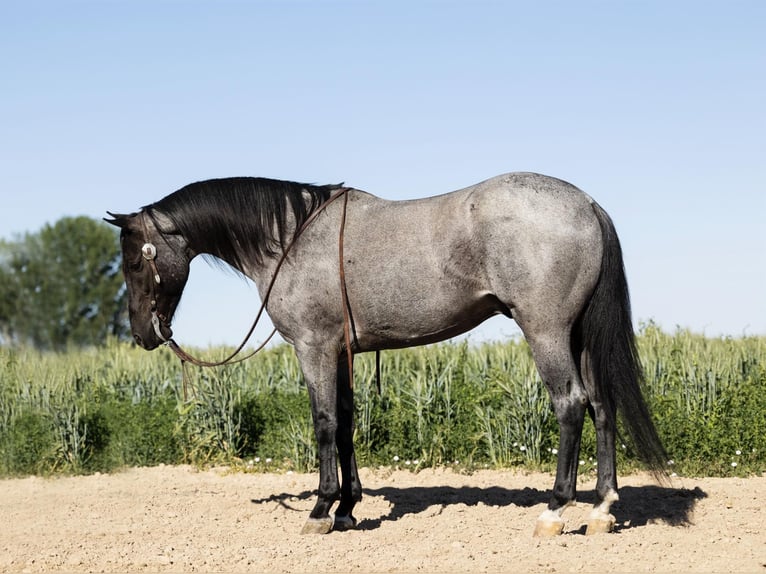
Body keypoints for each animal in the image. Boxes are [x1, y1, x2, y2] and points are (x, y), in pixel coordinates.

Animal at [106, 172, 667, 536]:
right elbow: (347, 421)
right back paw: (601, 510)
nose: (142, 334)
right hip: (578, 336)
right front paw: (348, 510)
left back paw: (554, 510)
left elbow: (325, 422)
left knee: (571, 405)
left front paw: (320, 510)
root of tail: (586, 203)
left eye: (134, 261)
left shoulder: (314, 347)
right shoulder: (342, 352)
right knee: (602, 406)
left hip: (546, 332)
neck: (290, 239)